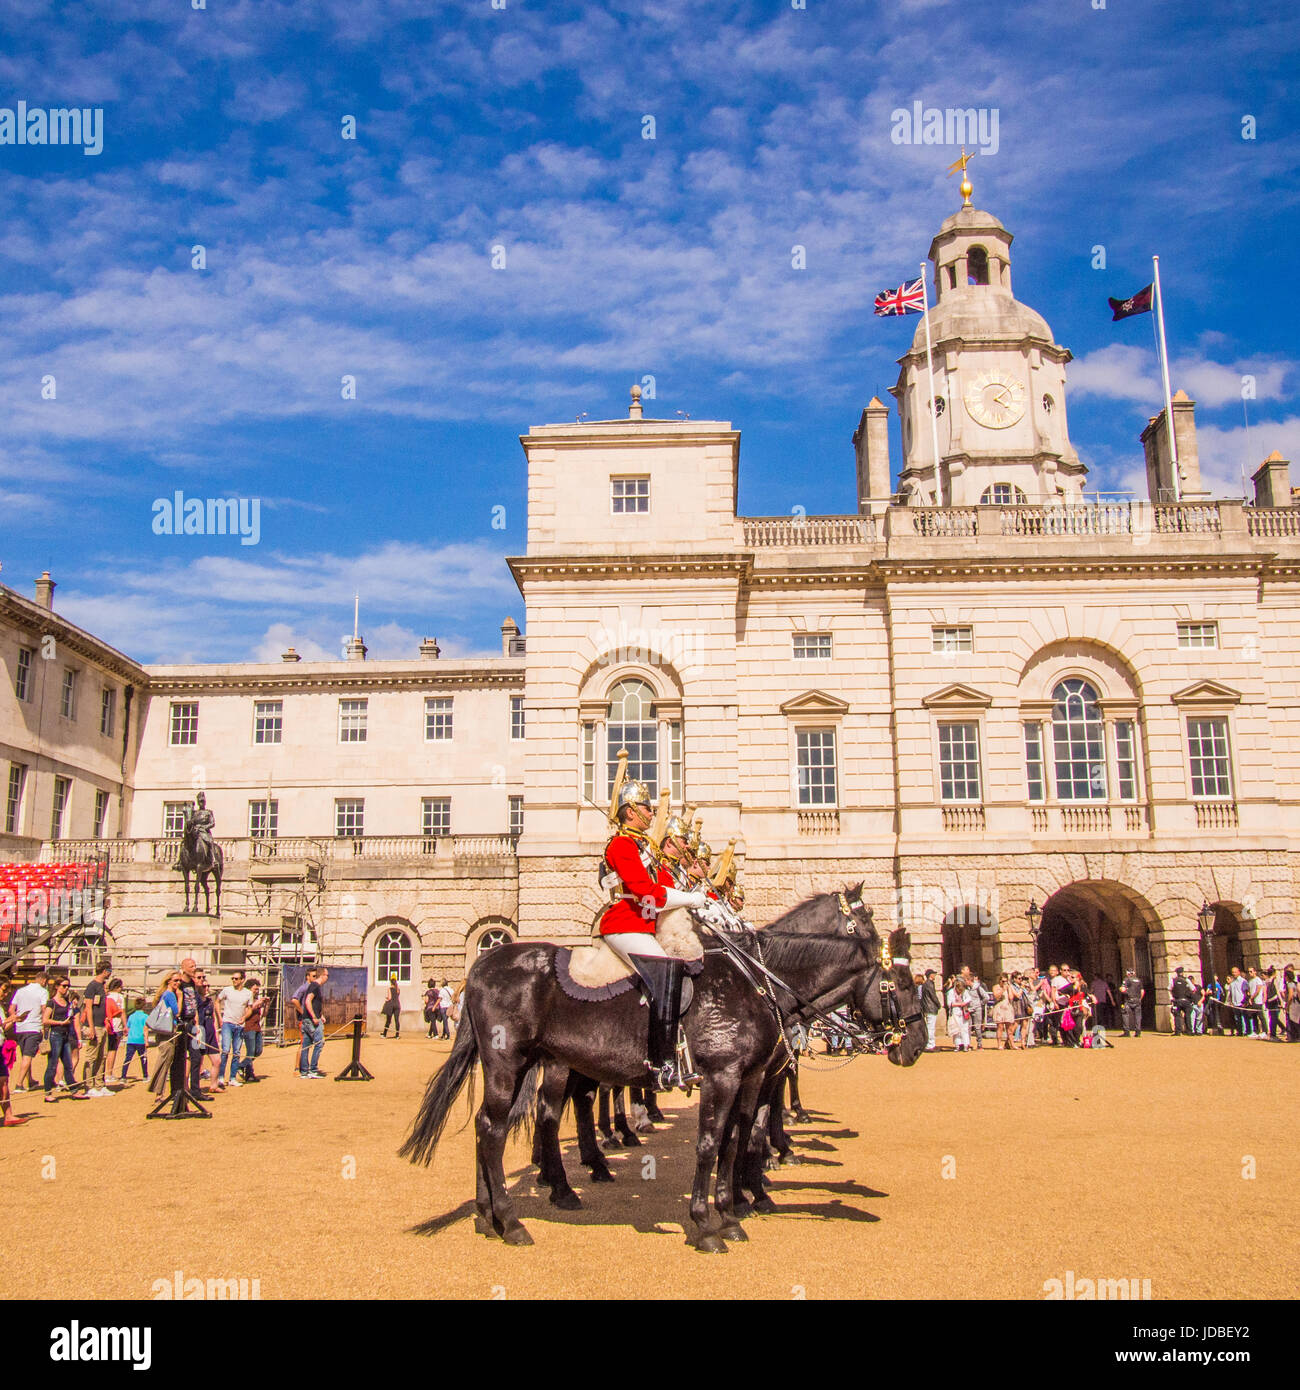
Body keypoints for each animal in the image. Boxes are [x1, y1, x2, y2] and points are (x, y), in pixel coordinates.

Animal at [405, 889, 923, 1251]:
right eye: (900, 982)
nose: (917, 1045)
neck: (757, 981)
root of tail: (484, 962)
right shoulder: (724, 1075)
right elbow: (713, 1144)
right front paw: (710, 1221)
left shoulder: (752, 1076)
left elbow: (737, 1139)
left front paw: (733, 1211)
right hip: (511, 1062)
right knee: (503, 1126)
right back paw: (516, 1218)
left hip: (528, 1062)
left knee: (494, 1124)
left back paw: (490, 1215)